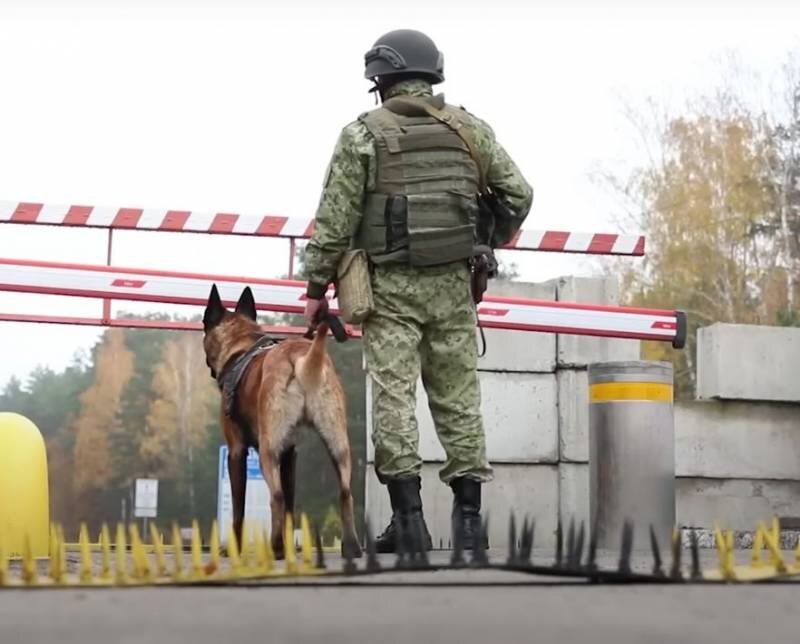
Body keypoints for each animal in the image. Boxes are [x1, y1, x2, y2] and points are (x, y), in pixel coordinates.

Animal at [200, 282, 362, 560]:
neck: (241, 348)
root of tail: (301, 358)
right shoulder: (290, 452)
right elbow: (290, 503)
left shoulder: (237, 451)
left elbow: (239, 508)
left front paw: (235, 547)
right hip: (337, 443)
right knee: (344, 492)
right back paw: (351, 547)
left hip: (269, 449)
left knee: (275, 496)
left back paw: (275, 547)